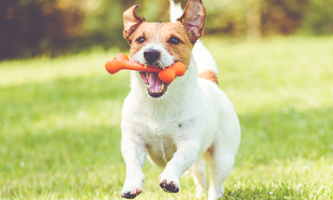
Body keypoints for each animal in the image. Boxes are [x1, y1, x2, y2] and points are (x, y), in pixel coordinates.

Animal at [118, 0, 240, 199]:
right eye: (140, 40)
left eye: (174, 40)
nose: (151, 53)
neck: (159, 105)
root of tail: (210, 81)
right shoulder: (133, 140)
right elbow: (133, 163)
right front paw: (131, 184)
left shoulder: (189, 143)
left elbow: (176, 161)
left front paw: (169, 180)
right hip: (198, 163)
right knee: (200, 175)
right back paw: (199, 194)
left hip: (222, 157)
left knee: (216, 183)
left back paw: (212, 194)